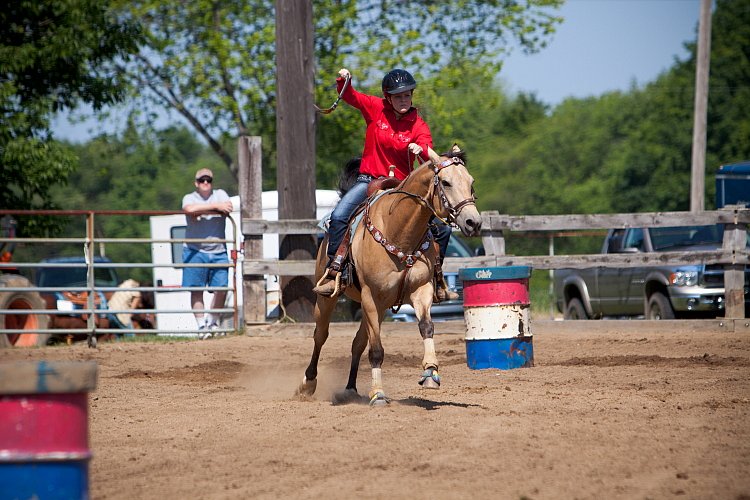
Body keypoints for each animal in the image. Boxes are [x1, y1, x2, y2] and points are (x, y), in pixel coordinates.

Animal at [296, 143, 484, 404]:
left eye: (471, 181)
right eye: (445, 182)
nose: (473, 222)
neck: (400, 232)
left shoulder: (420, 291)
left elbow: (426, 327)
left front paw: (430, 373)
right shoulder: (370, 297)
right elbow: (376, 350)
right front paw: (378, 394)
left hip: (380, 306)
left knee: (357, 343)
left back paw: (350, 388)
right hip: (328, 300)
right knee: (320, 335)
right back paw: (308, 383)